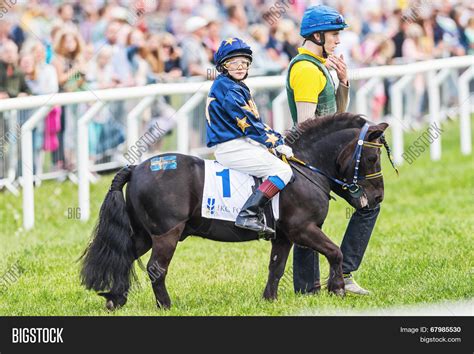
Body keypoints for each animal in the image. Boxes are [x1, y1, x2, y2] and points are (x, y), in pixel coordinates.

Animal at [79, 113, 386, 310]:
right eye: (372, 158)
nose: (378, 197)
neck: (305, 168)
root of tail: (138, 168)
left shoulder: (284, 236)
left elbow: (276, 267)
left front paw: (270, 300)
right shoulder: (303, 229)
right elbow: (335, 252)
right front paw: (338, 288)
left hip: (145, 235)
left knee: (124, 257)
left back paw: (115, 299)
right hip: (166, 234)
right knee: (156, 269)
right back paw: (165, 305)